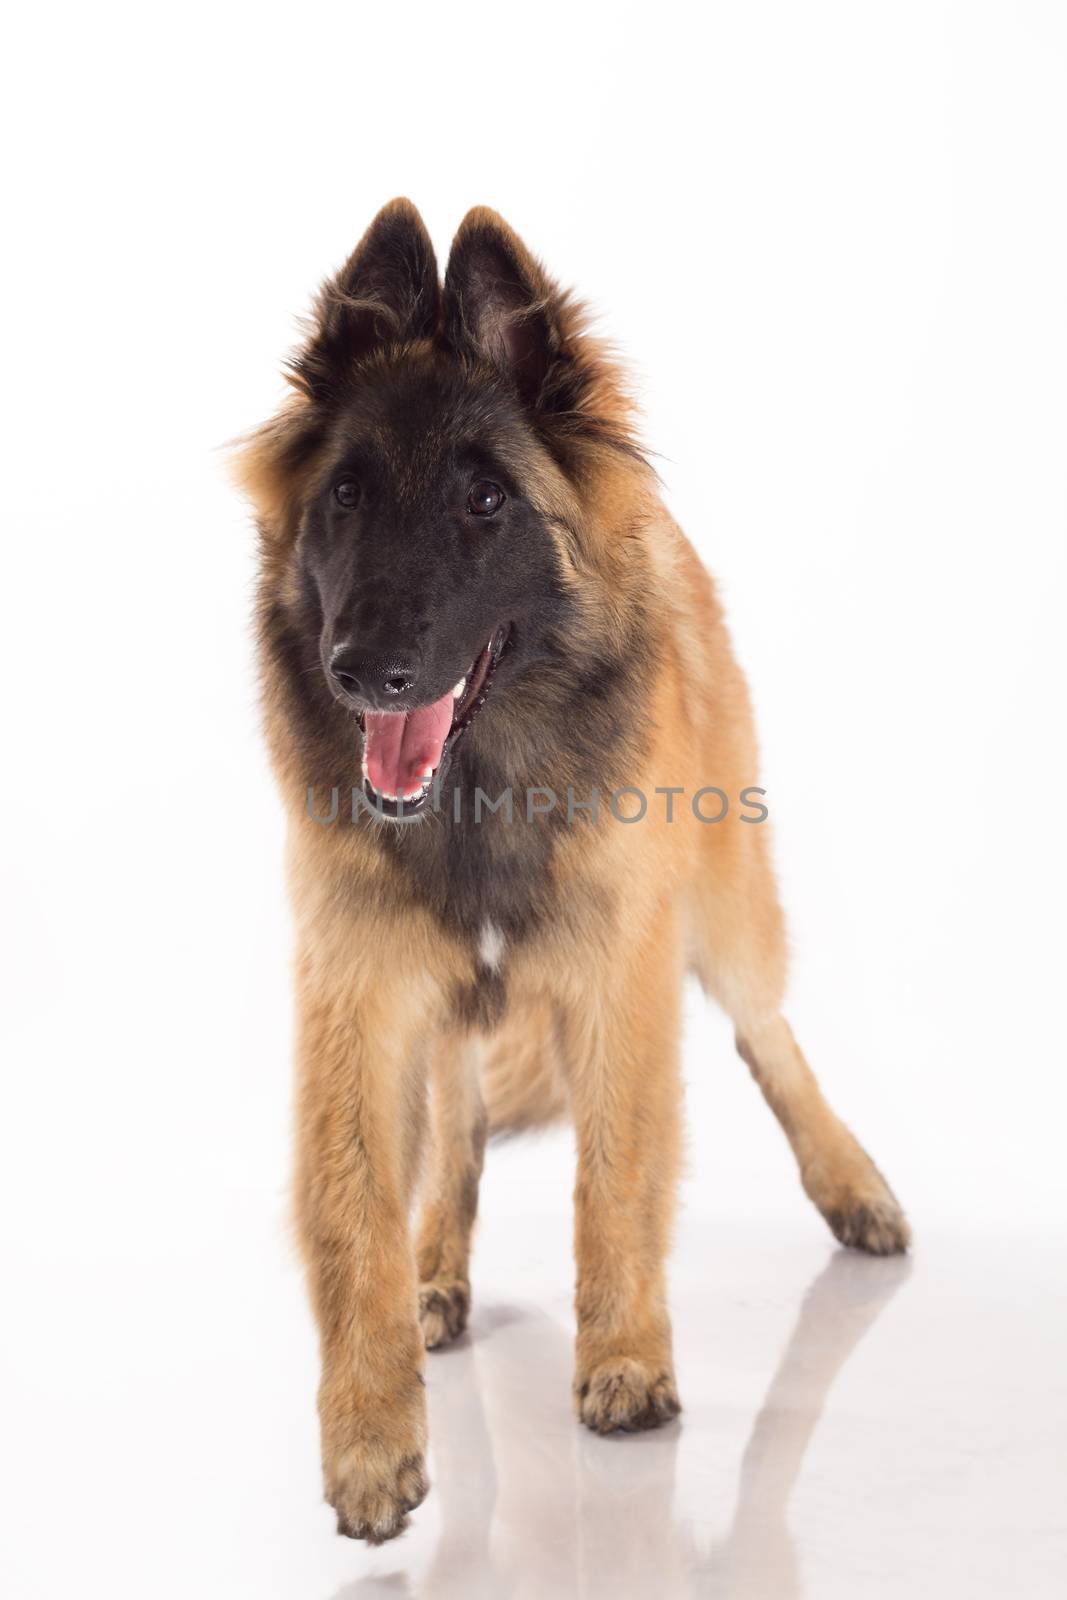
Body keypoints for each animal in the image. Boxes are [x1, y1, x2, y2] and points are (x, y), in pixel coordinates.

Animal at [235, 193, 908, 1542]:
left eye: (486, 502)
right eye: (344, 496)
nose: (362, 670)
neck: (475, 795)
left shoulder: (620, 977)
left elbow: (618, 1174)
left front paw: (626, 1359)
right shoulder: (359, 997)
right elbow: (353, 1209)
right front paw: (371, 1435)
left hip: (724, 910)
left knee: (767, 1031)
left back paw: (850, 1184)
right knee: (457, 1123)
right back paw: (439, 1268)